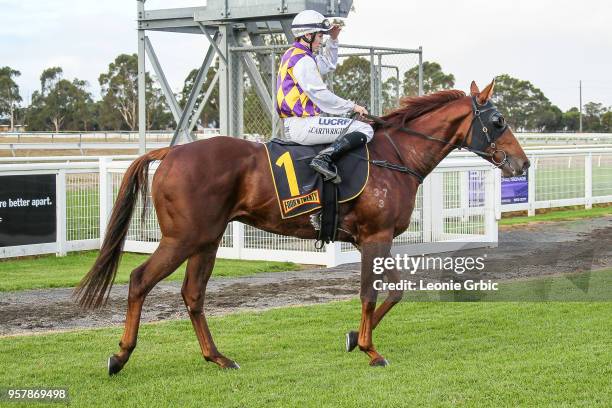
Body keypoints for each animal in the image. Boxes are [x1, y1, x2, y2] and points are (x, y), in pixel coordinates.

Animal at [75, 78, 524, 374]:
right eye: (499, 120)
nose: (523, 163)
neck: (394, 155)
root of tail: (169, 152)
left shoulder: (370, 240)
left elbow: (393, 292)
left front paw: (353, 338)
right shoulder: (374, 237)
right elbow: (370, 295)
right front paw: (370, 349)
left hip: (207, 240)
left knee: (193, 294)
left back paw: (217, 357)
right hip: (183, 238)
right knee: (139, 280)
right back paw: (120, 355)